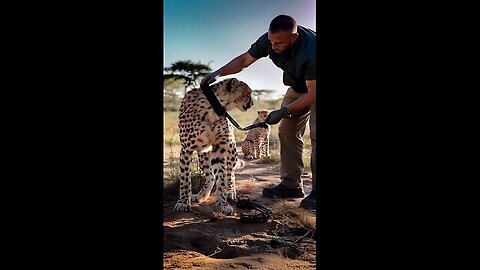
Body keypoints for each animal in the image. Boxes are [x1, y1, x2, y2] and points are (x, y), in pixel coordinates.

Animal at [173, 77, 255, 215]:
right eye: (247, 94)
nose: (252, 104)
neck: (213, 108)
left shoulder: (219, 148)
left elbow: (221, 178)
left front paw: (223, 204)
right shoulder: (186, 149)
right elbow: (185, 179)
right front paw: (183, 202)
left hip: (231, 150)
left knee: (230, 173)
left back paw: (230, 191)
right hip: (203, 155)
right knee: (210, 175)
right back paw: (201, 195)